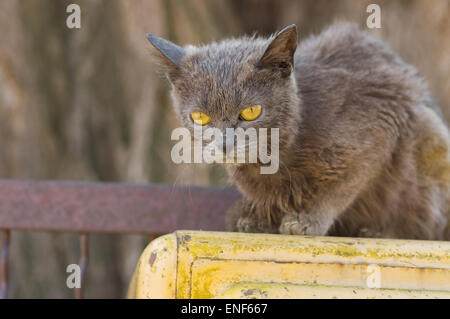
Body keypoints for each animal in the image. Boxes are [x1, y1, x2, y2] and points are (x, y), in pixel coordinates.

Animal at [147, 23, 450, 240]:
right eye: (200, 117)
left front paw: (307, 220)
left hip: (429, 136)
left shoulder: (381, 127)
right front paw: (257, 218)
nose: (224, 145)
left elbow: (343, 187)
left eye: (251, 112)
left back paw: (377, 231)